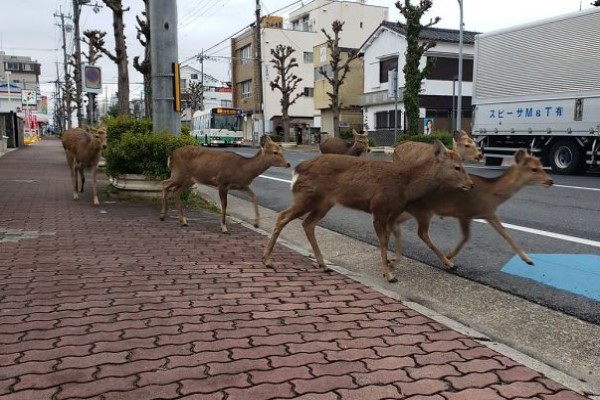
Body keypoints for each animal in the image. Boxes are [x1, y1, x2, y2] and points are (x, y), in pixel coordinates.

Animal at [159, 136, 290, 233]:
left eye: (281, 150)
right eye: (275, 152)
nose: (288, 164)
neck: (243, 168)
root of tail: (171, 155)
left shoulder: (242, 185)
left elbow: (254, 197)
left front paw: (256, 224)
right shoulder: (222, 182)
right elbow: (224, 204)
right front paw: (224, 227)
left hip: (189, 179)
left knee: (175, 191)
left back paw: (183, 221)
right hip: (179, 173)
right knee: (164, 183)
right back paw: (163, 215)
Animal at [262, 140, 474, 282]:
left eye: (464, 165)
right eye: (457, 167)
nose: (470, 184)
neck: (406, 185)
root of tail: (297, 169)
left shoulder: (392, 212)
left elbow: (392, 238)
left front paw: (450, 264)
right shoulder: (378, 208)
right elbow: (384, 241)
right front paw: (389, 274)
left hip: (324, 202)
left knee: (308, 224)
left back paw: (323, 265)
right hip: (307, 197)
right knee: (283, 216)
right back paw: (267, 260)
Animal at [392, 149, 556, 268]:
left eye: (542, 166)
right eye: (534, 169)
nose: (550, 181)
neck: (491, 194)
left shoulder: (489, 213)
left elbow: (506, 233)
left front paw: (527, 259)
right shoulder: (464, 212)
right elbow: (466, 237)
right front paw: (450, 255)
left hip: (411, 211)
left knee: (396, 225)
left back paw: (394, 259)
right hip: (423, 210)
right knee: (421, 233)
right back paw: (448, 263)